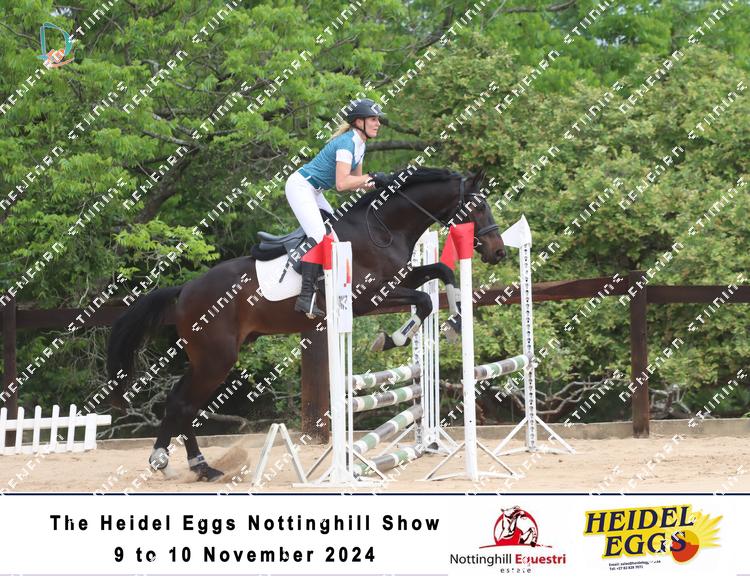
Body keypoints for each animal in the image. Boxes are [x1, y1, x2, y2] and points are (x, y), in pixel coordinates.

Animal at [106, 167, 506, 481]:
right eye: (478, 206)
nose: (498, 251)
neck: (383, 229)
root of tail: (185, 290)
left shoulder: (401, 279)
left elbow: (441, 273)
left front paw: (455, 321)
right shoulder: (368, 298)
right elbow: (423, 300)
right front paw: (391, 338)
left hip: (209, 358)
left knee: (180, 400)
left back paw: (188, 464)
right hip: (215, 359)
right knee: (184, 404)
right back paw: (186, 463)